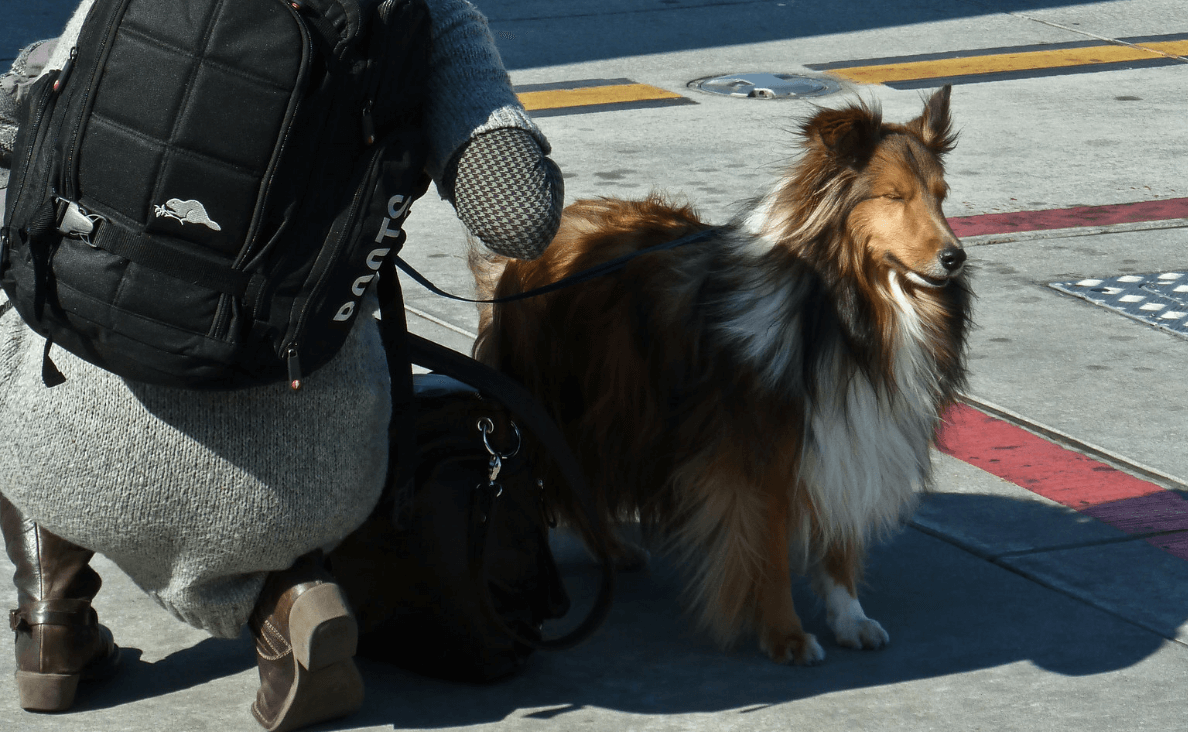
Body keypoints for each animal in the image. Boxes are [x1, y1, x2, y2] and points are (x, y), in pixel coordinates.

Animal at [468, 85, 969, 665]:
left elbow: (839, 543)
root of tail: (526, 248)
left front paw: (850, 617)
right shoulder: (759, 457)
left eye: (941, 195)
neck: (849, 308)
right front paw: (785, 635)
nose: (955, 258)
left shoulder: (850, 431)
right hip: (573, 408)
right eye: (893, 196)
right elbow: (768, 553)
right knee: (568, 483)